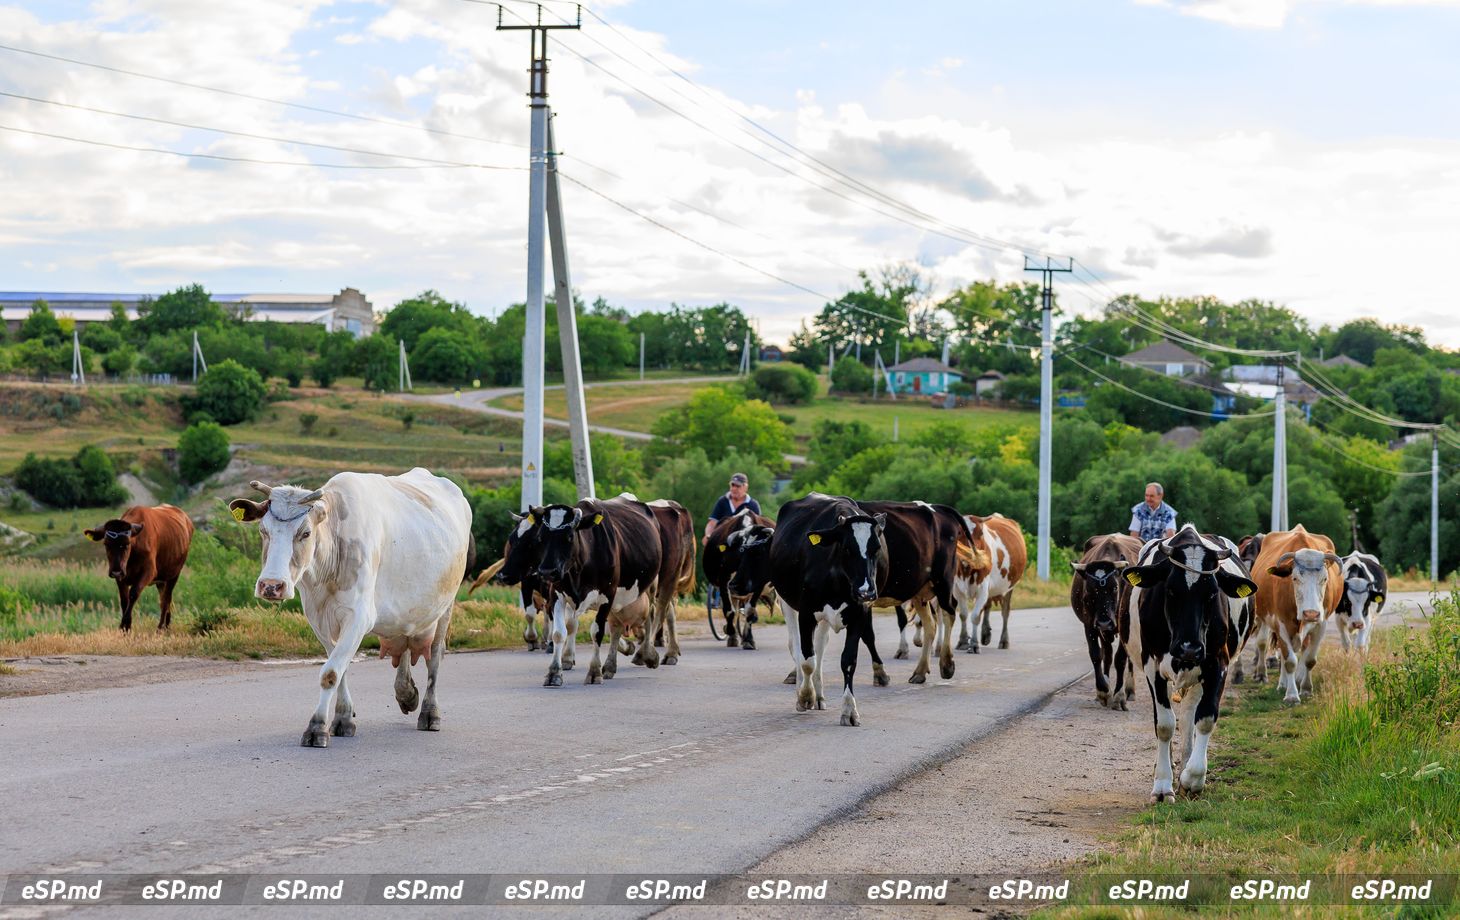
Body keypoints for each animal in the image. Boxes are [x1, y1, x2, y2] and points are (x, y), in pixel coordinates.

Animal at [84, 505, 194, 633]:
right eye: (106, 544)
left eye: (127, 544)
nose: (116, 571)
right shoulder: (121, 577)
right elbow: (124, 600)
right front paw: (126, 629)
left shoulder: (149, 572)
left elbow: (133, 594)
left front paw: (124, 624)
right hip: (161, 580)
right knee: (165, 599)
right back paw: (166, 626)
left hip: (174, 574)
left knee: (166, 600)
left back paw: (160, 628)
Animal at [227, 467, 470, 747]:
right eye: (263, 531)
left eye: (305, 533)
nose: (271, 585)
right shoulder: (318, 618)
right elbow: (339, 669)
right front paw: (343, 718)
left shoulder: (358, 617)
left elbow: (330, 672)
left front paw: (317, 727)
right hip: (406, 612)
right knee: (405, 642)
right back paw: (406, 693)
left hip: (445, 607)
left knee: (435, 659)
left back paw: (430, 713)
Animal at [776, 496, 887, 727]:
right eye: (847, 548)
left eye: (876, 548)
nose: (866, 591)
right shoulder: (806, 613)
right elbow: (807, 660)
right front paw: (805, 696)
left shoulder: (858, 615)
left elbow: (848, 662)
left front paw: (849, 710)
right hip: (787, 602)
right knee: (797, 647)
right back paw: (803, 693)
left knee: (820, 647)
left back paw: (819, 695)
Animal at [1121, 528, 1261, 806]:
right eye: (1170, 590)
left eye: (1212, 593)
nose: (1190, 649)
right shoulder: (1152, 666)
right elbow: (1164, 725)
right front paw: (1162, 786)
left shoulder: (1217, 664)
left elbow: (1205, 719)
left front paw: (1193, 779)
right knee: (1172, 719)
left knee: (1187, 717)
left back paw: (1185, 764)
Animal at [1249, 525, 1337, 706]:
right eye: (1294, 578)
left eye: (1325, 579)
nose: (1311, 613)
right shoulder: (1281, 623)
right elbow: (1289, 660)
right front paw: (1291, 695)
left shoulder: (1320, 624)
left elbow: (1310, 659)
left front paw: (1306, 689)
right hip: (1264, 618)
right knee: (1264, 645)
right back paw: (1273, 679)